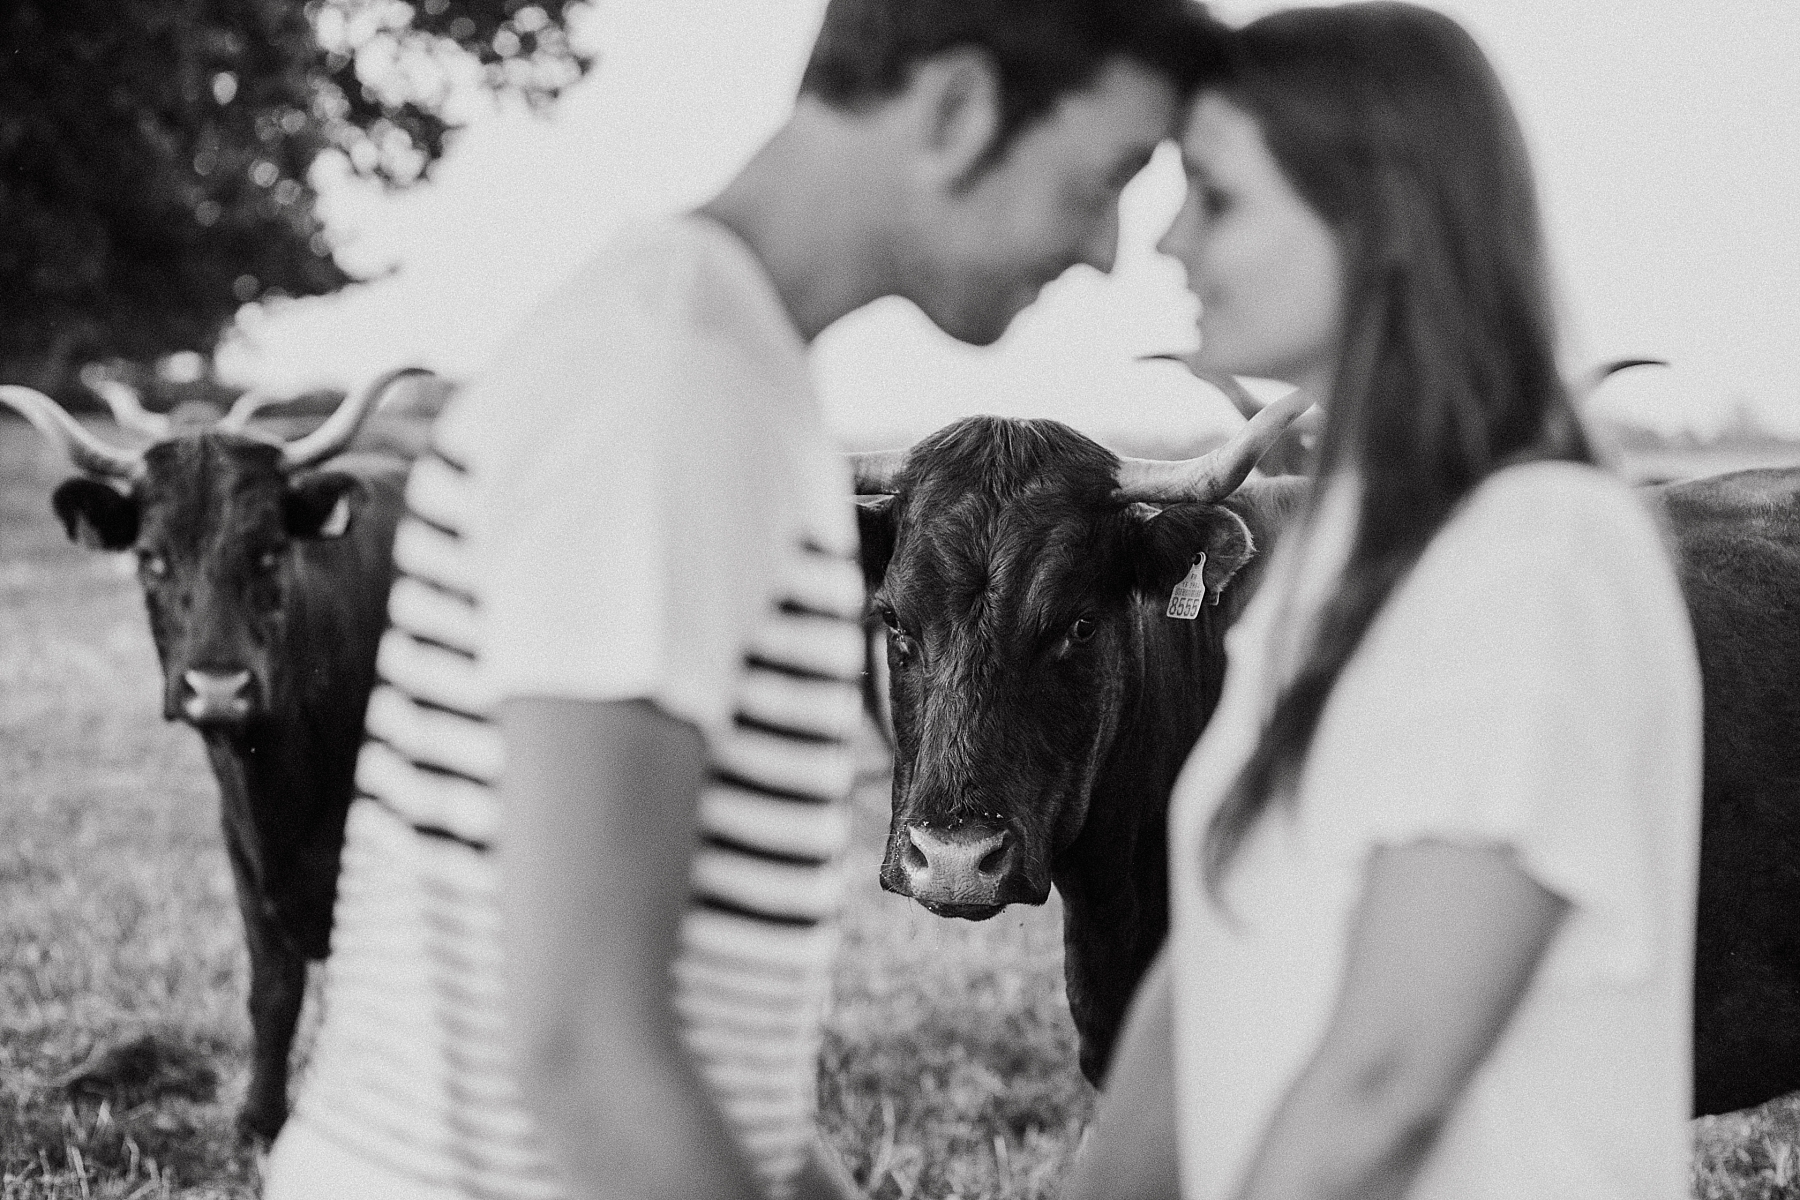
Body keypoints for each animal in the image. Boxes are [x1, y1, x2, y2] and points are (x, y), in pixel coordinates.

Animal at [1, 370, 426, 1144]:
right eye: (151, 558)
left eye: (269, 552)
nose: (219, 687)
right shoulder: (242, 845)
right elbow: (273, 988)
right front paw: (261, 1116)